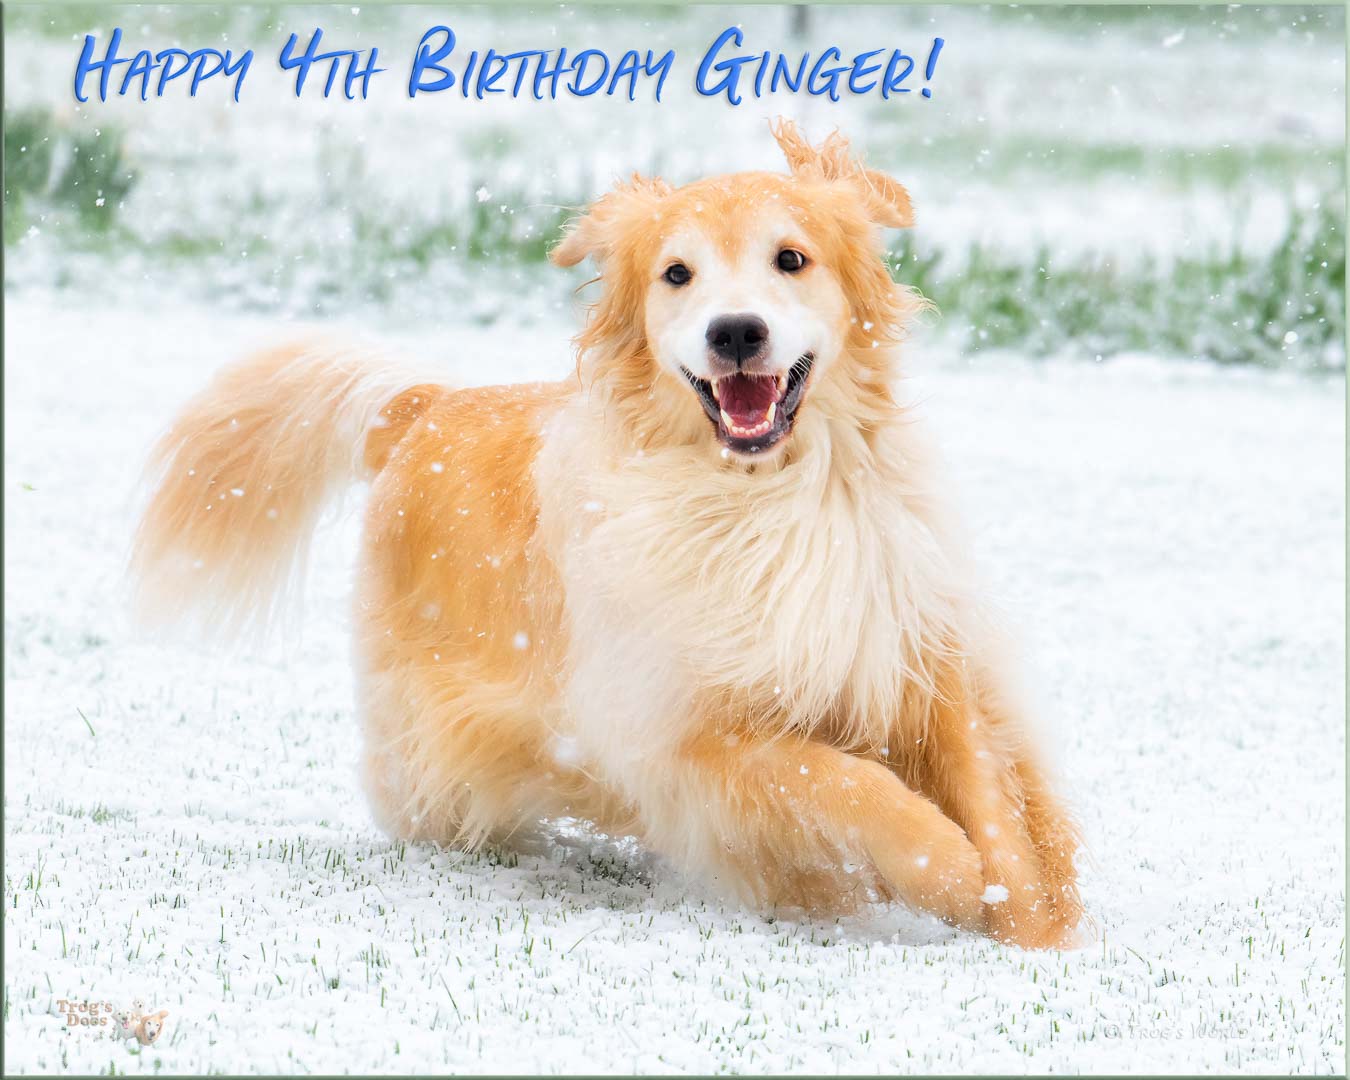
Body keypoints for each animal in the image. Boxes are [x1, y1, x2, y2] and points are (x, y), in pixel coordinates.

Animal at [134, 118, 1085, 945]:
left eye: (791, 259)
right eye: (676, 274)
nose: (735, 331)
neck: (767, 495)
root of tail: (423, 406)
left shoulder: (916, 656)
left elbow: (990, 791)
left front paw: (1028, 916)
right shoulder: (684, 733)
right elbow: (848, 785)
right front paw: (955, 876)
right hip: (428, 752)